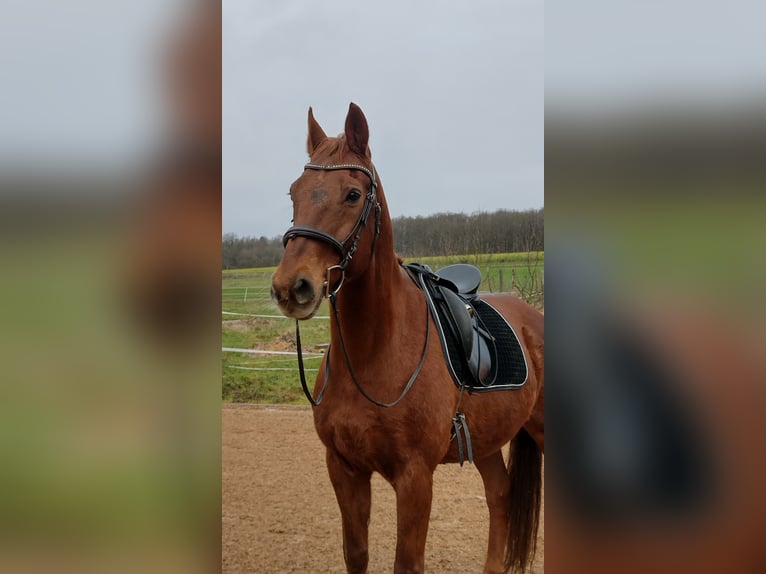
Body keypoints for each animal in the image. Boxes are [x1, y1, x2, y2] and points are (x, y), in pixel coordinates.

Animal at [270, 104, 544, 574]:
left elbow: (407, 562)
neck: (374, 354)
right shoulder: (343, 468)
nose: (292, 286)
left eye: (353, 195)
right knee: (500, 496)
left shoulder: (415, 478)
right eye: (294, 193)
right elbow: (356, 555)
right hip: (488, 442)